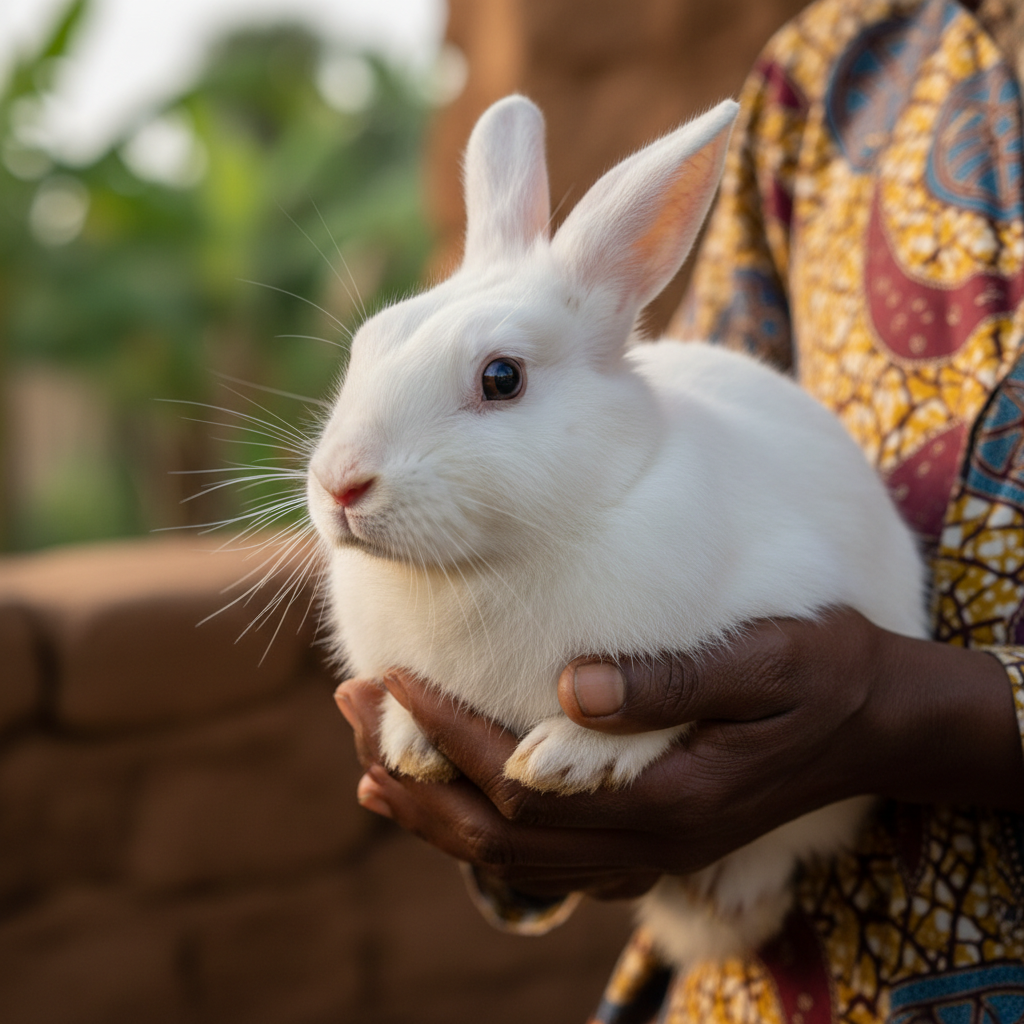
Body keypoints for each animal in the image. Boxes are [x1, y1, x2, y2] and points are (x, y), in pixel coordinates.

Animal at [305, 94, 926, 968]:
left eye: (502, 378)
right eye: (367, 346)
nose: (340, 483)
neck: (492, 561)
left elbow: (663, 719)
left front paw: (570, 757)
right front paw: (412, 747)